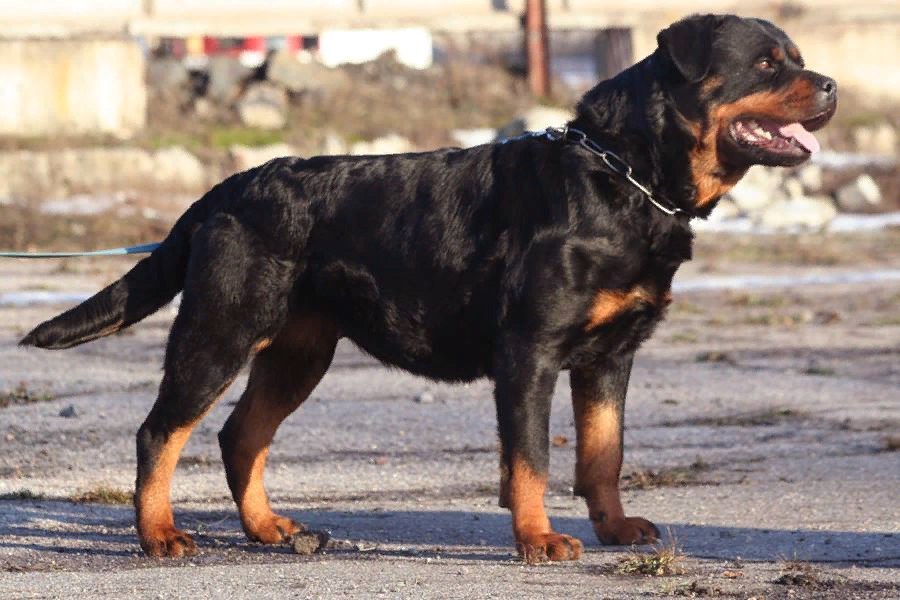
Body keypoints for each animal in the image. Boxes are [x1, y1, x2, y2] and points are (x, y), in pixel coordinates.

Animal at [22, 14, 836, 564]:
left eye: (798, 60)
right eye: (768, 63)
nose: (830, 84)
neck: (626, 177)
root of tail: (223, 190)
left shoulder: (610, 357)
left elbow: (604, 451)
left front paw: (614, 529)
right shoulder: (530, 353)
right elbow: (532, 458)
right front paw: (538, 539)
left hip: (300, 350)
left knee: (239, 435)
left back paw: (270, 529)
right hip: (221, 328)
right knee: (161, 431)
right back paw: (160, 534)